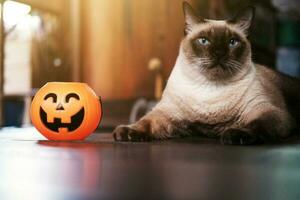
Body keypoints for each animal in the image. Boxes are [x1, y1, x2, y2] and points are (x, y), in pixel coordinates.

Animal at [112, 1, 300, 145]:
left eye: (232, 42)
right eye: (204, 41)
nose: (218, 53)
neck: (210, 90)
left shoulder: (267, 111)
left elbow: (255, 125)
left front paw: (235, 135)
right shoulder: (166, 114)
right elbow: (145, 121)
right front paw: (127, 132)